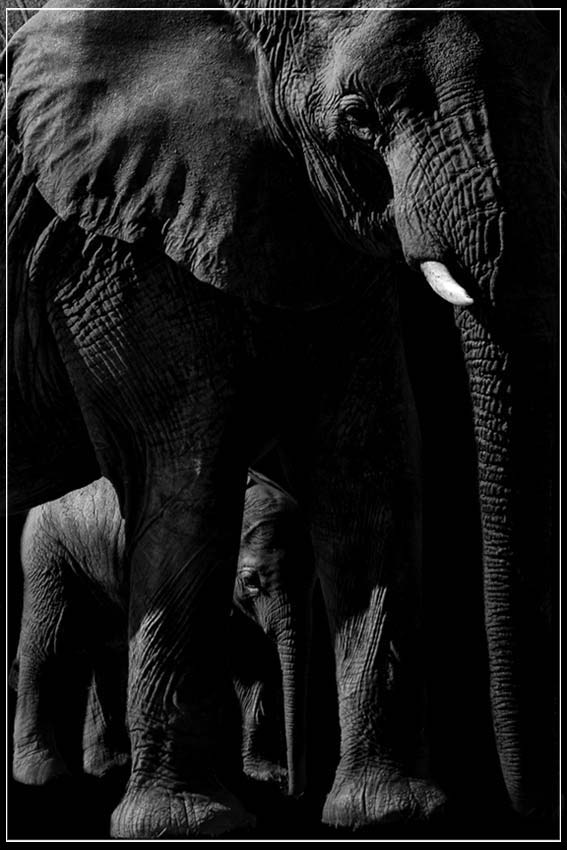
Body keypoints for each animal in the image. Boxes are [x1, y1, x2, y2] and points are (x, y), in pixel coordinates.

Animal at [12, 471, 313, 795]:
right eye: (251, 581)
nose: (294, 790)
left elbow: (251, 659)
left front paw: (265, 774)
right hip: (49, 551)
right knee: (46, 642)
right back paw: (44, 777)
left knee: (106, 650)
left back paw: (109, 768)